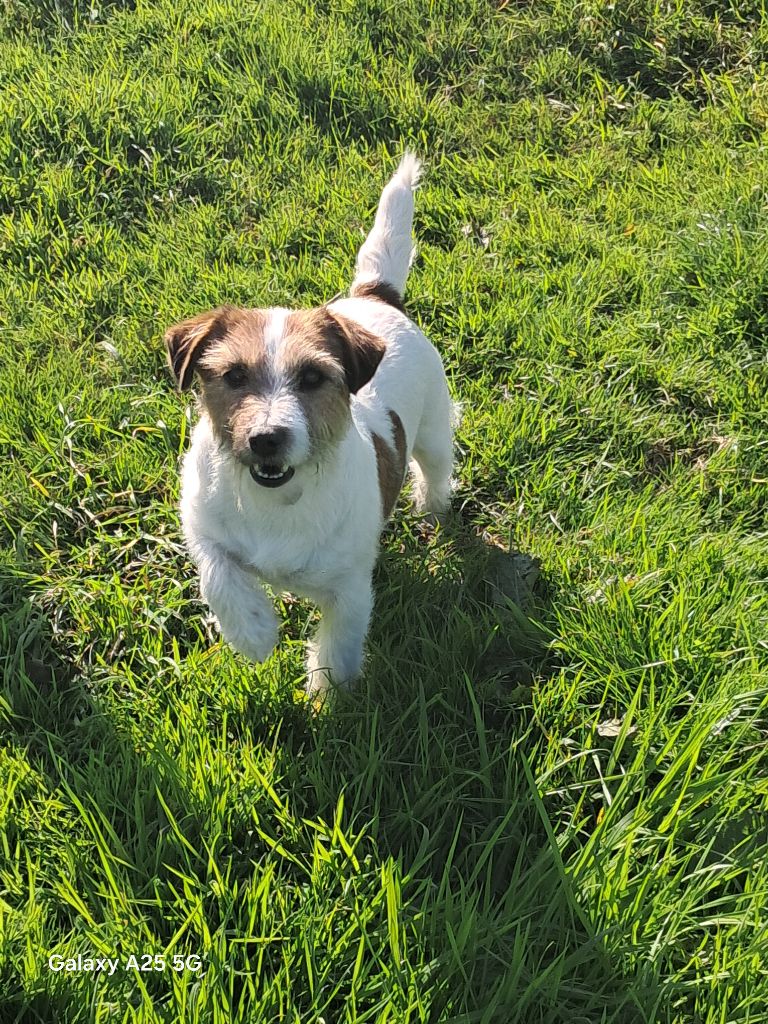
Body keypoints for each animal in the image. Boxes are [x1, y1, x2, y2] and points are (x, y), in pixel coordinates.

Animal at [165, 153, 454, 696]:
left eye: (314, 377)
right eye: (234, 376)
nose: (265, 439)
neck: (279, 499)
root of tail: (375, 298)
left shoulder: (350, 589)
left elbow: (339, 643)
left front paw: (328, 695)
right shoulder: (202, 523)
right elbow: (217, 573)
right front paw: (254, 633)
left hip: (434, 429)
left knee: (436, 466)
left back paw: (433, 504)